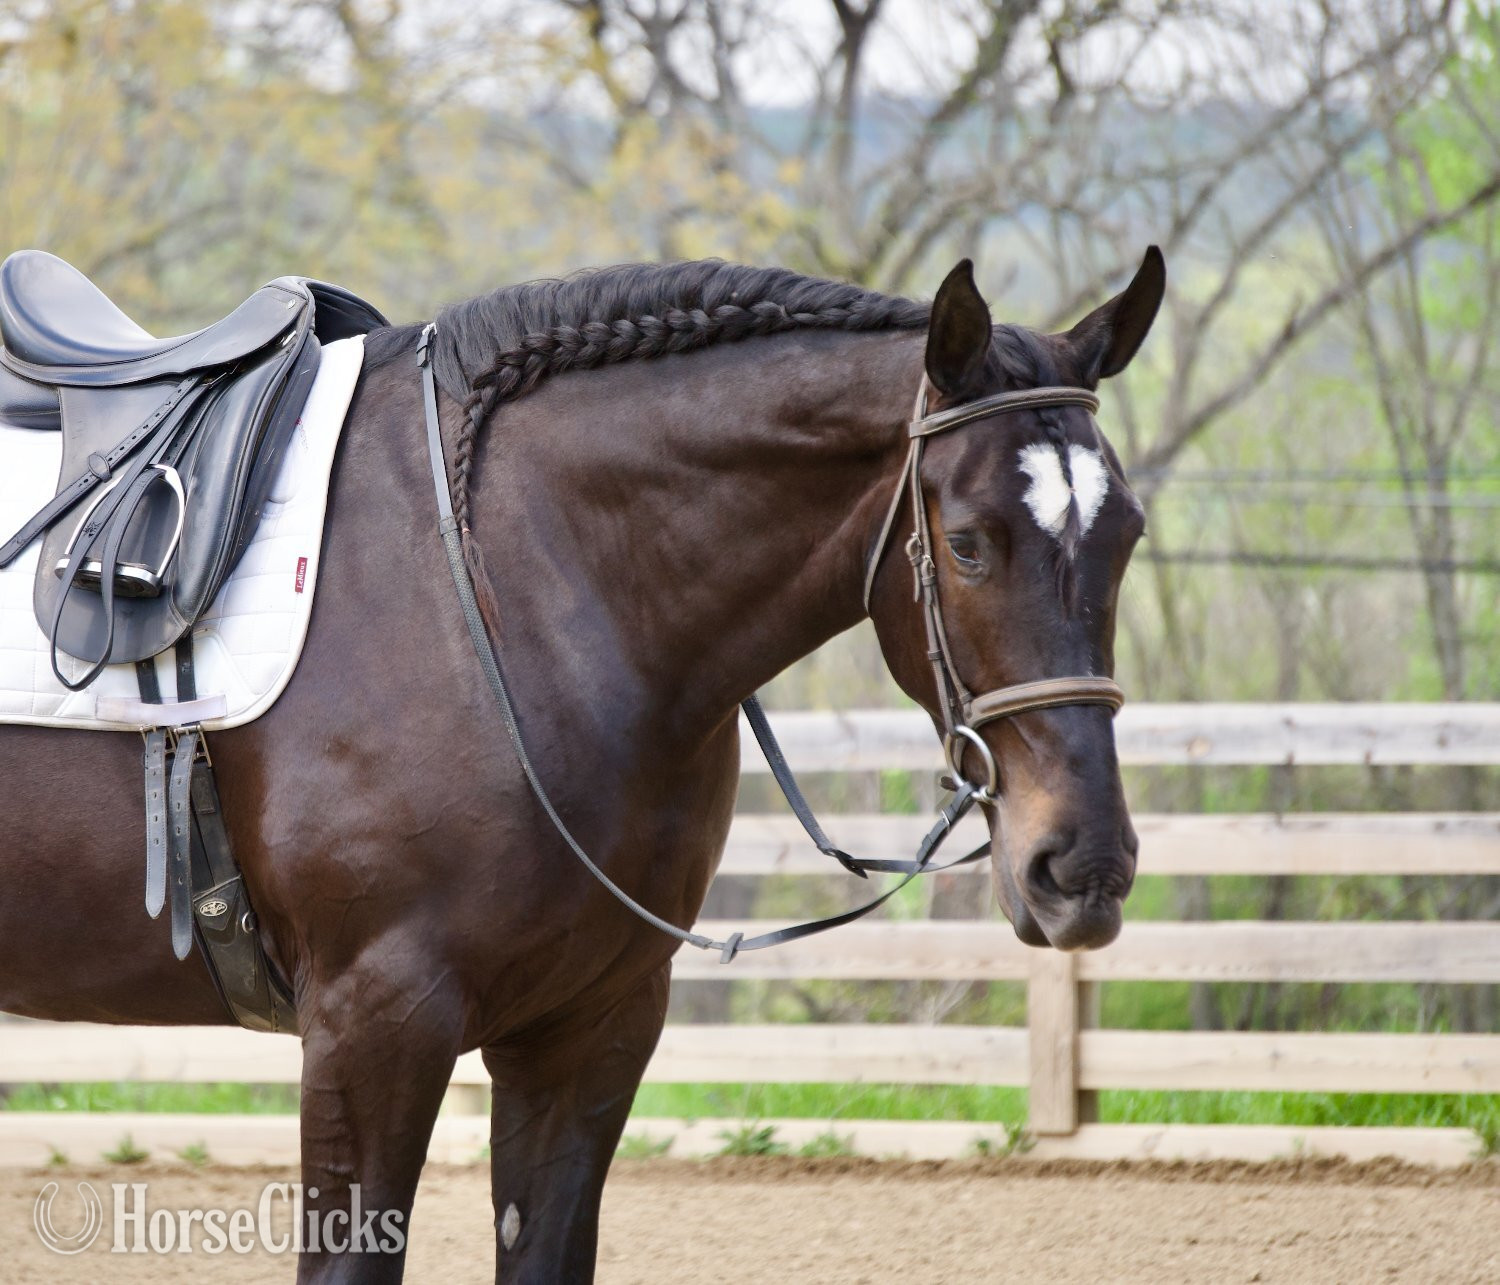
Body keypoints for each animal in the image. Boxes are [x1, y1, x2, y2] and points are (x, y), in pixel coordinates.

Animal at [0, 246, 1163, 1282]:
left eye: (1129, 535)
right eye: (967, 542)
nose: (1083, 867)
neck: (505, 586)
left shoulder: (590, 1028)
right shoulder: (372, 1026)